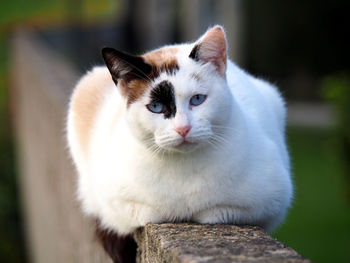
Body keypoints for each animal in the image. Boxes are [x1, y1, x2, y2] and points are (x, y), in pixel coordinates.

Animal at [66, 25, 292, 262]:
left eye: (197, 99)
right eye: (156, 107)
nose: (183, 128)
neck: (183, 169)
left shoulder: (272, 201)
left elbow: (216, 212)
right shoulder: (111, 202)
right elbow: (145, 213)